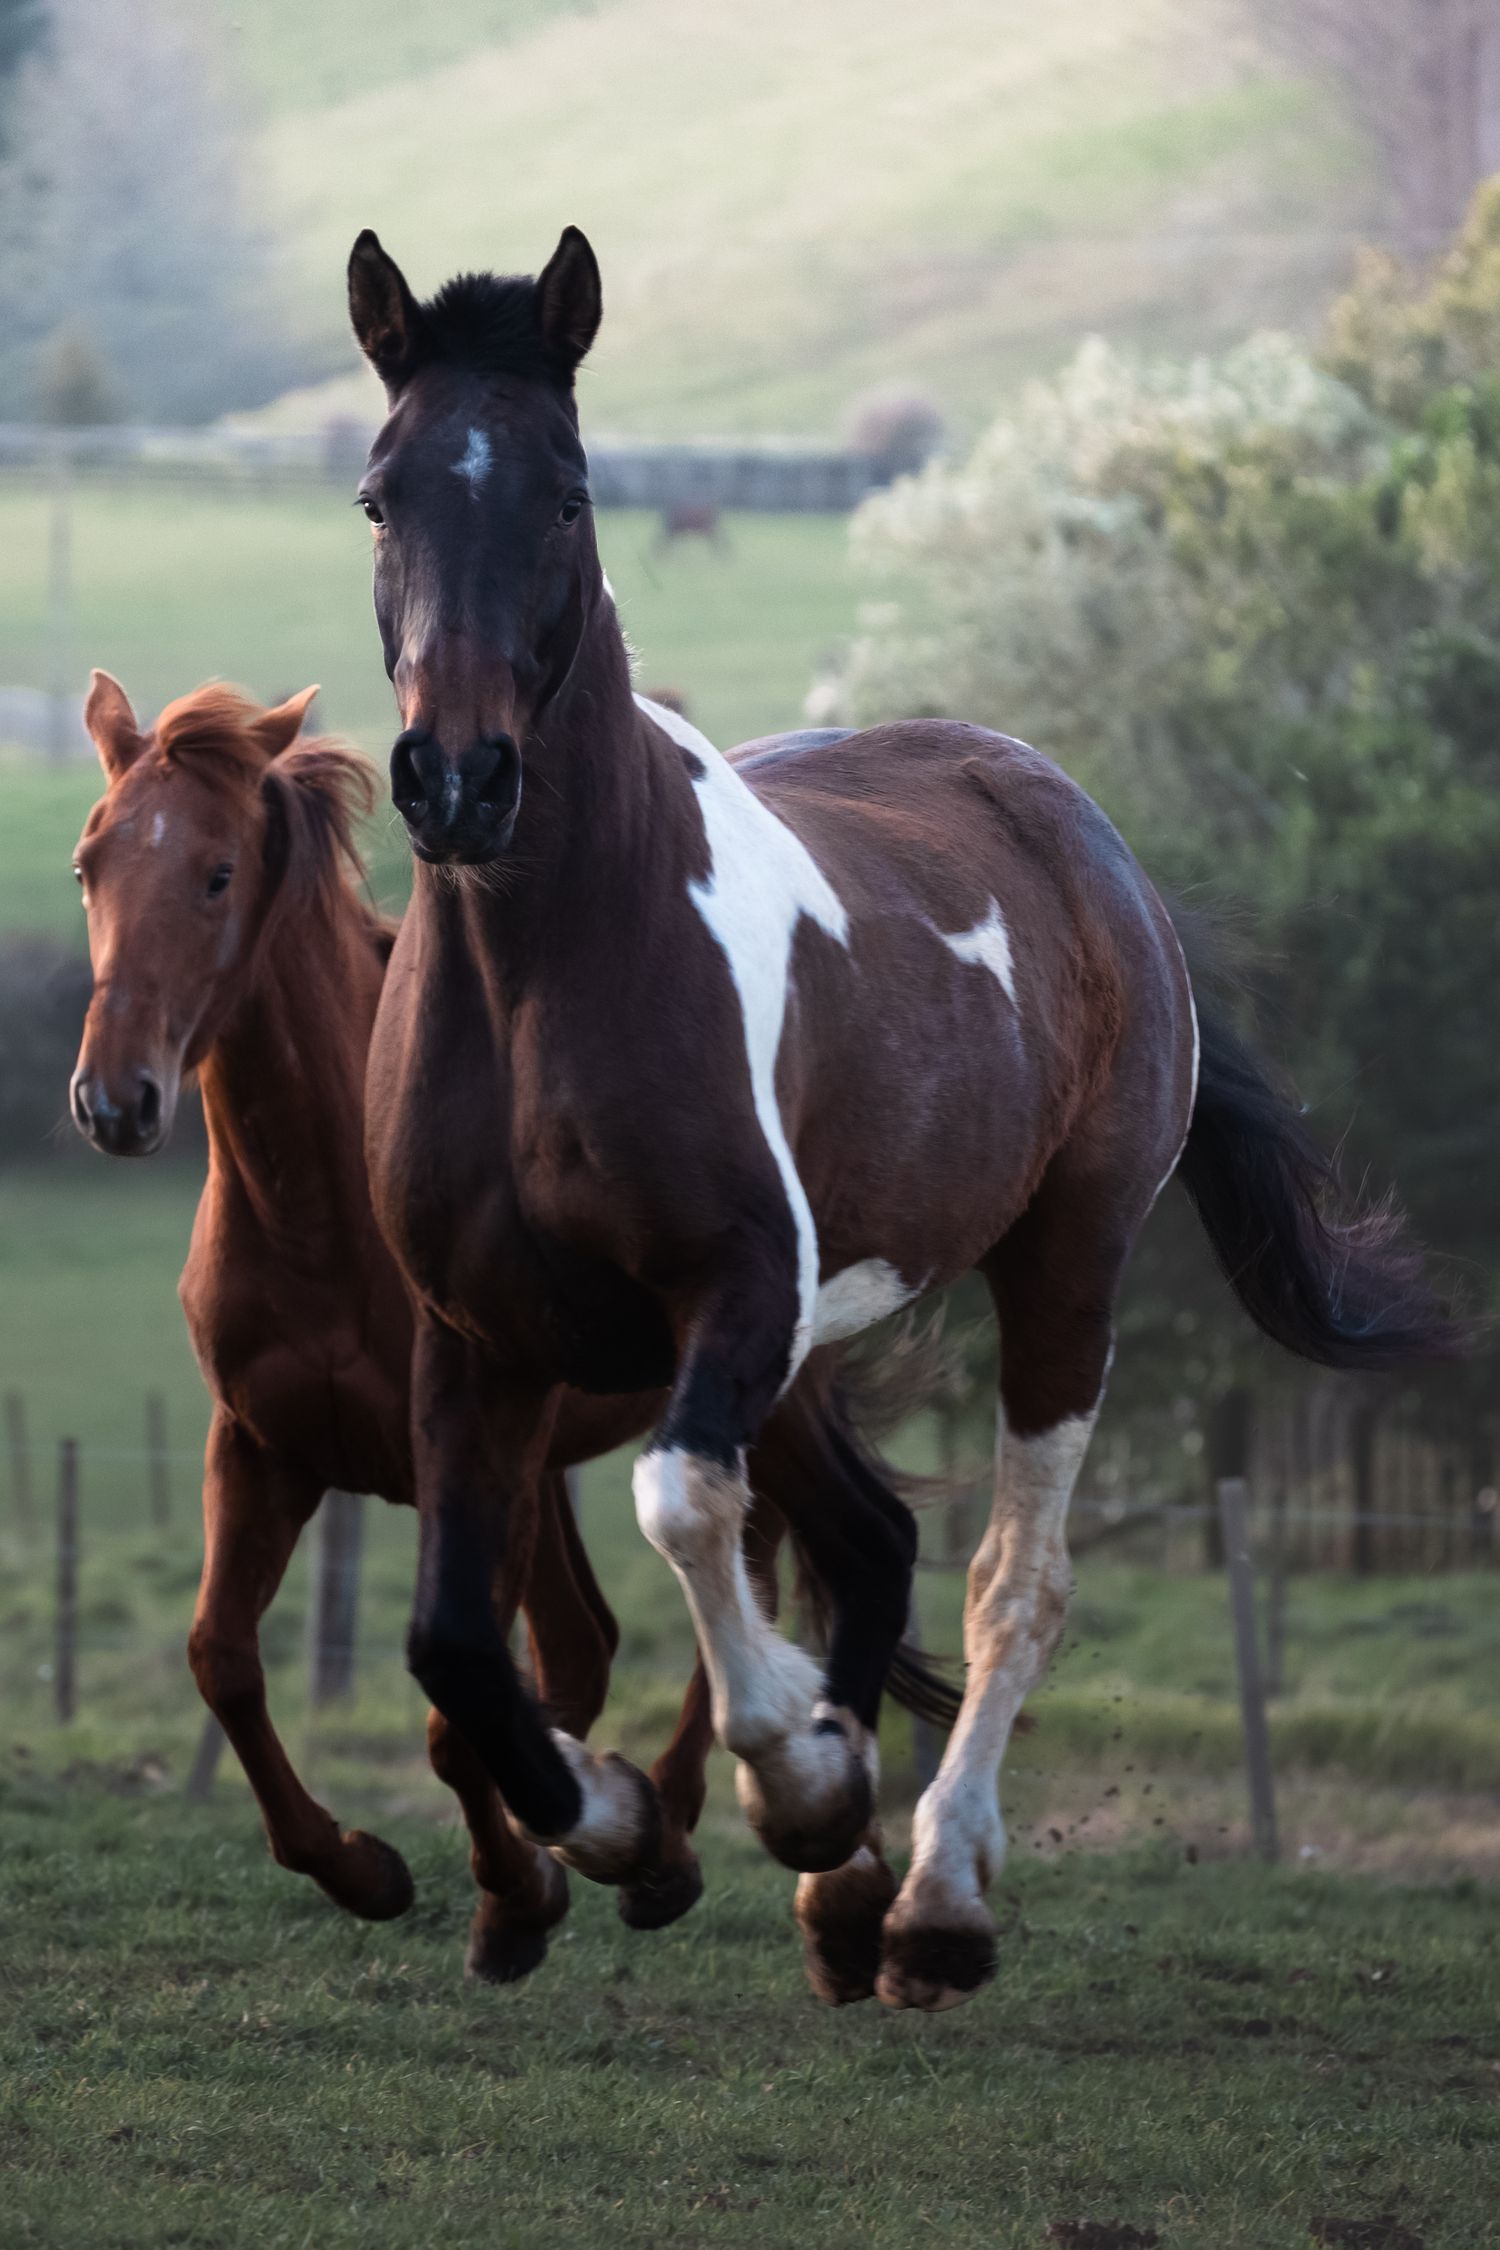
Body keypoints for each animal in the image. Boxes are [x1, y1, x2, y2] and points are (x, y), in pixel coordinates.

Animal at [69, 674, 953, 1996]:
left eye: (218, 874)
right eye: (89, 864)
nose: (115, 1100)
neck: (323, 1204)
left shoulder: (483, 1459)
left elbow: (461, 1718)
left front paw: (523, 1888)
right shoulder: (262, 1448)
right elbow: (221, 1658)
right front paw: (364, 1869)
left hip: (739, 1408)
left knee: (745, 1589)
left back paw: (702, 1850)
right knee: (624, 1629)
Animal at [346, 225, 1461, 2013]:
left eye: (569, 493)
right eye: (383, 495)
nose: (458, 780)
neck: (544, 977)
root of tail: (1090, 833)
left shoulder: (733, 1291)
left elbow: (682, 1505)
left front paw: (794, 1774)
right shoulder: (474, 1335)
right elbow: (452, 1634)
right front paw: (625, 1821)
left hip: (1059, 1272)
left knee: (1018, 1580)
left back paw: (929, 1892)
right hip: (804, 1350)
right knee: (869, 1540)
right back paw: (844, 1888)